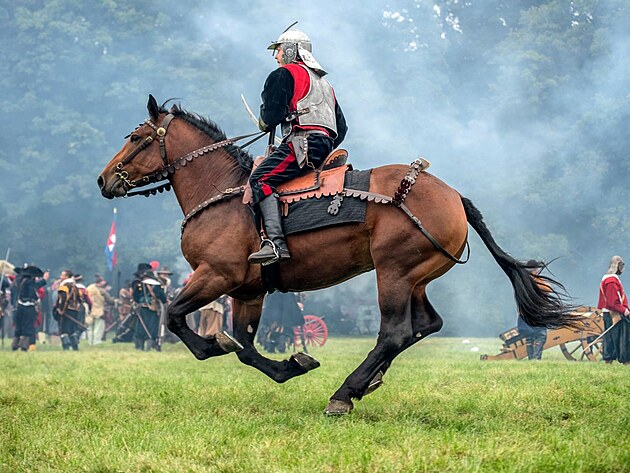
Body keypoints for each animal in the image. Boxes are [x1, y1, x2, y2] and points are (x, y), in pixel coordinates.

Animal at [96, 96, 576, 412]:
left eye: (137, 137)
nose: (104, 180)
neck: (225, 194)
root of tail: (453, 195)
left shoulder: (215, 275)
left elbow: (176, 316)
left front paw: (211, 344)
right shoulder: (248, 292)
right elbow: (246, 348)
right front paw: (291, 365)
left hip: (394, 273)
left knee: (395, 332)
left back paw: (345, 394)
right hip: (415, 277)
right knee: (426, 325)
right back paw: (367, 382)